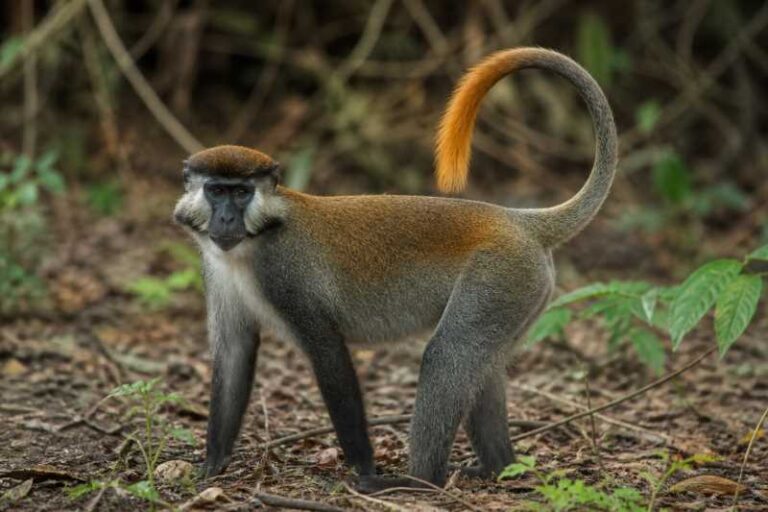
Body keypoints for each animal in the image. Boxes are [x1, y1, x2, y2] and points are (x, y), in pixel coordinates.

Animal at [173, 47, 617, 492]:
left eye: (241, 193)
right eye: (216, 191)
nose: (225, 219)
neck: (253, 243)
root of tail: (519, 221)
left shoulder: (285, 274)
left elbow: (328, 353)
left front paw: (364, 467)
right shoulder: (216, 269)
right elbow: (235, 352)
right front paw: (211, 464)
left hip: (500, 277)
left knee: (448, 354)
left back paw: (420, 481)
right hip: (518, 292)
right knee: (483, 367)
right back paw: (498, 466)